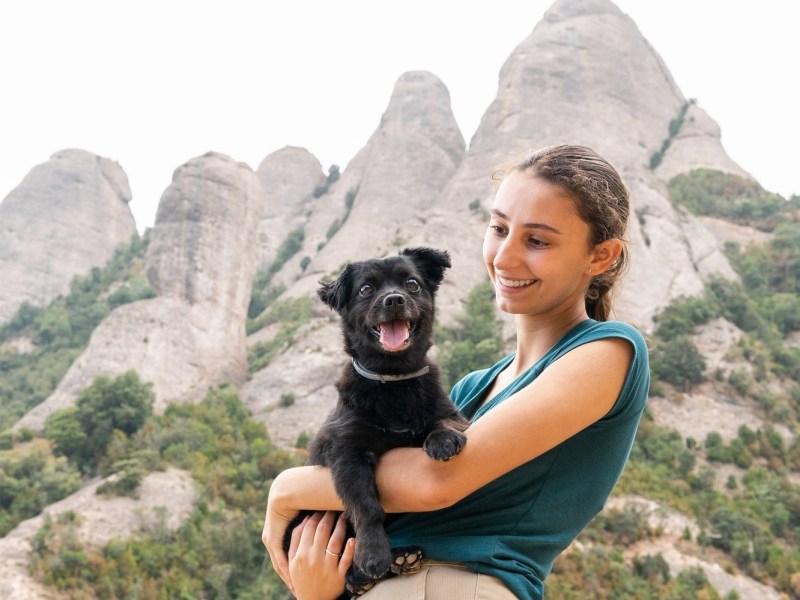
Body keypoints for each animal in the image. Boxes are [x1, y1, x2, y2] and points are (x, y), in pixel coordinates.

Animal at [290, 246, 468, 592]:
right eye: (366, 289)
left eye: (411, 283)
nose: (394, 300)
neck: (394, 382)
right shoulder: (348, 452)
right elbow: (366, 505)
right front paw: (372, 553)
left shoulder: (451, 412)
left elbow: (444, 421)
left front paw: (442, 440)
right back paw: (369, 571)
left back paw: (401, 559)